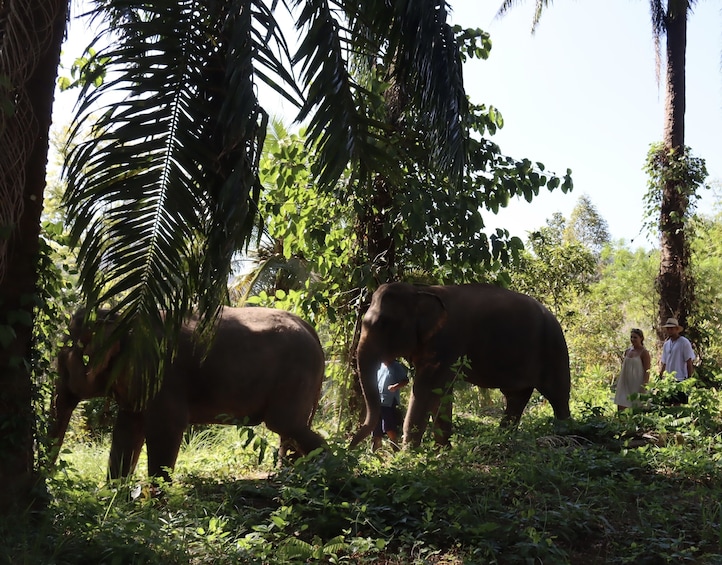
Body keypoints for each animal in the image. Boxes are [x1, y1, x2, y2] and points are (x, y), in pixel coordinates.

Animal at [52, 304, 328, 480]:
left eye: (70, 357)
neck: (121, 316)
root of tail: (311, 330)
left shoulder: (163, 374)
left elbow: (166, 428)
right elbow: (127, 430)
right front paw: (114, 500)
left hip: (296, 375)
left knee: (285, 424)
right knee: (289, 431)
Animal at [348, 284, 568, 448]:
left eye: (384, 323)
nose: (349, 446)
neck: (420, 290)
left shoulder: (448, 341)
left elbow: (427, 388)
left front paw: (409, 455)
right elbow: (440, 393)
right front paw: (442, 452)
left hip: (554, 347)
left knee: (557, 395)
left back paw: (566, 434)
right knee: (516, 397)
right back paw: (501, 438)